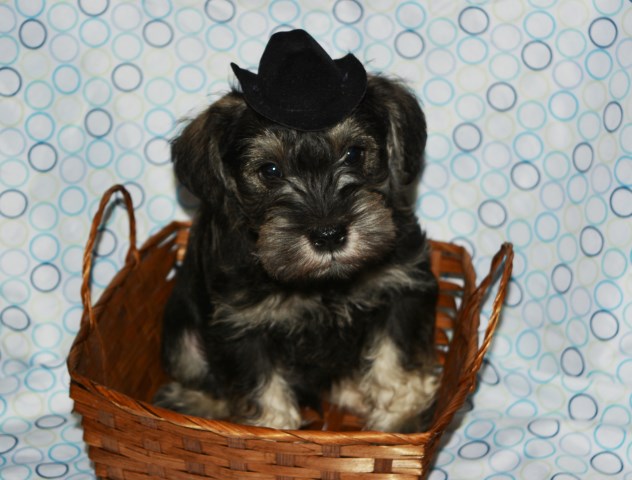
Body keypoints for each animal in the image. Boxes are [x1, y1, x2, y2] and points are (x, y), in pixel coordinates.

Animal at [154, 31, 440, 436]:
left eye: (354, 153)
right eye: (270, 170)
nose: (329, 235)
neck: (323, 284)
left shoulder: (401, 289)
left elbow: (394, 357)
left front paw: (399, 413)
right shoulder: (242, 328)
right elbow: (263, 389)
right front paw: (271, 432)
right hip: (183, 343)